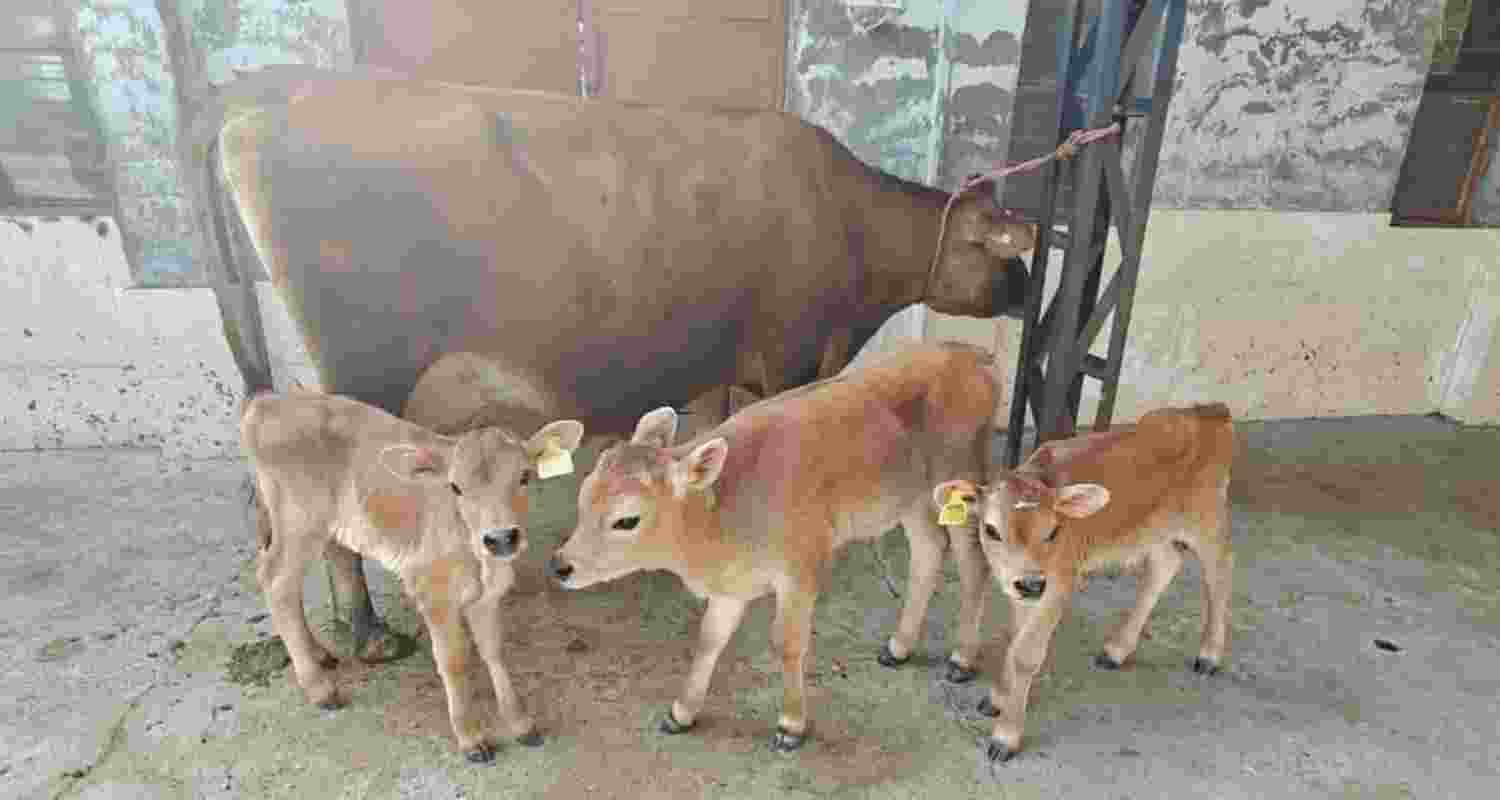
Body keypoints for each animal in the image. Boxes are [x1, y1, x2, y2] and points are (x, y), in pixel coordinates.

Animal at [199, 64, 1036, 664]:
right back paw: (368, 632)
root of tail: (255, 110)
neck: (852, 224)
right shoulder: (794, 356)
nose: (1029, 284)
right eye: (997, 246)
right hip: (355, 381)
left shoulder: (726, 369)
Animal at [240, 388, 585, 764]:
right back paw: (319, 689)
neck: (478, 559)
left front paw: (520, 723)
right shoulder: (433, 593)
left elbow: (493, 650)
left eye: (524, 476)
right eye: (455, 487)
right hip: (299, 522)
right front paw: (470, 737)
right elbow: (453, 661)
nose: (501, 538)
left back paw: (317, 655)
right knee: (276, 583)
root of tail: (267, 400)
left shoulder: (487, 596)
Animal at [543, 342, 1000, 752]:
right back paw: (899, 647)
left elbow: (787, 643)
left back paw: (962, 659)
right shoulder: (731, 587)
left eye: (627, 520)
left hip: (960, 478)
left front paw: (791, 726)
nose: (561, 565)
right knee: (928, 549)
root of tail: (973, 354)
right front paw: (681, 713)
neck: (720, 516)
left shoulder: (803, 565)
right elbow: (709, 638)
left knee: (973, 561)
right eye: (584, 496)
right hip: (911, 499)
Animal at [931, 403, 1236, 764]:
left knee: (1220, 571)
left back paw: (1210, 655)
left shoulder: (1058, 582)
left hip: (1206, 520)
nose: (1031, 583)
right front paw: (999, 699)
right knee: (1163, 566)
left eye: (1053, 531)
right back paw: (1116, 650)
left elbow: (1025, 655)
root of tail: (1211, 412)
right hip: (1156, 529)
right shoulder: (1025, 588)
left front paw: (1006, 736)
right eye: (991, 530)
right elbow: (1014, 640)